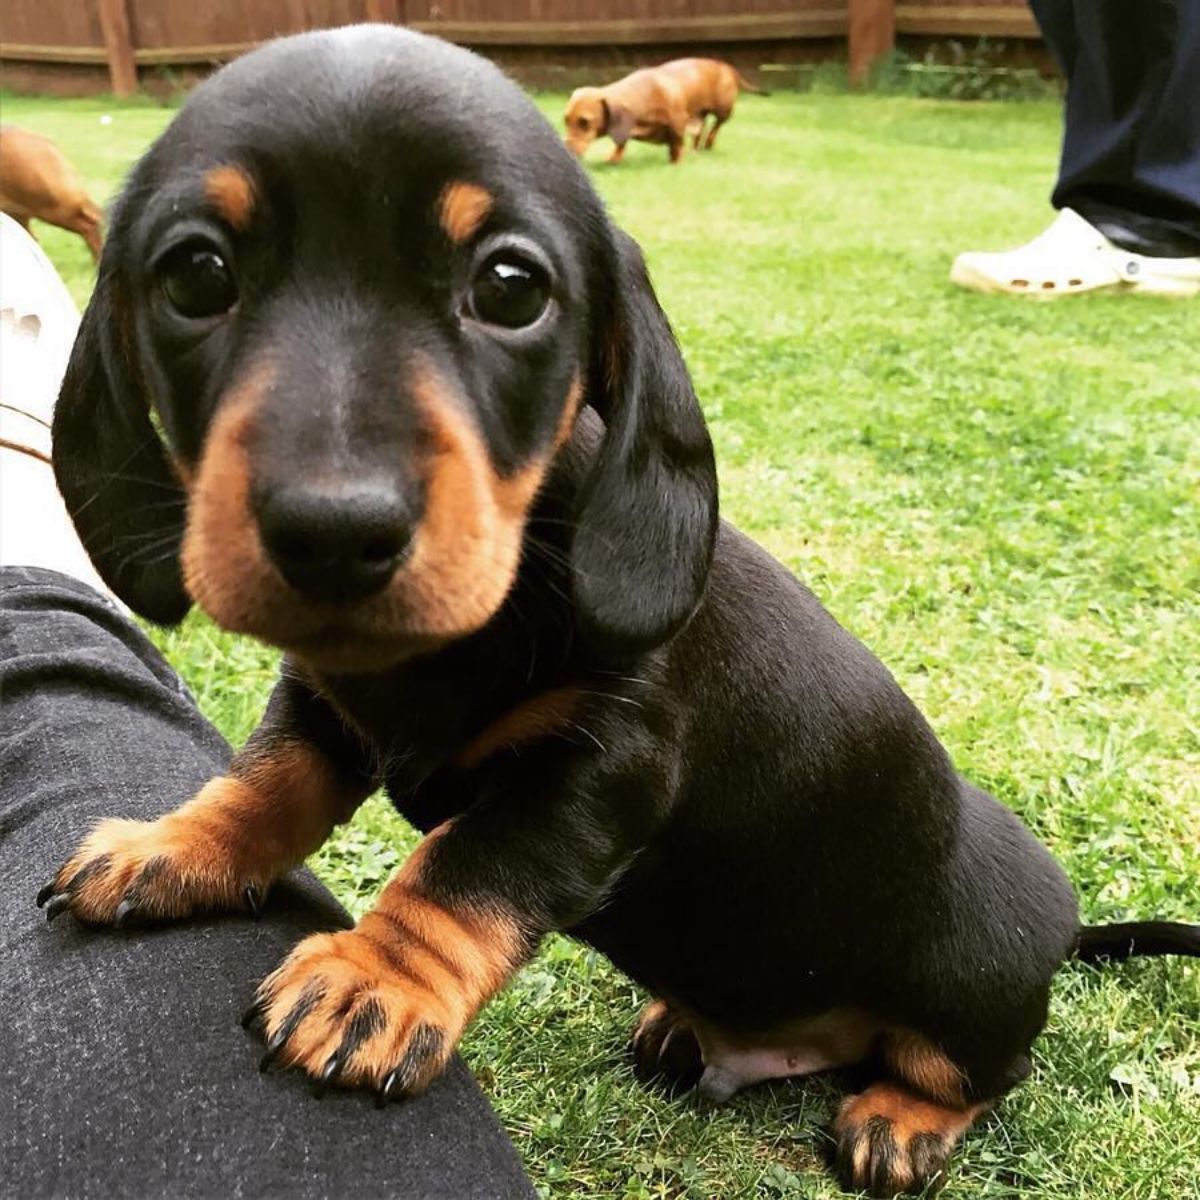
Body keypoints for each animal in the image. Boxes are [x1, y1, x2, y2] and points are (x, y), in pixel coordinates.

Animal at [564, 57, 758, 164]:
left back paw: (707, 144)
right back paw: (696, 149)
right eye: (566, 120)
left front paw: (676, 162)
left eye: (584, 122)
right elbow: (621, 144)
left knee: (715, 127)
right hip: (700, 117)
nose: (566, 152)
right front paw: (613, 159)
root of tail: (727, 66)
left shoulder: (678, 123)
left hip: (723, 111)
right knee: (700, 133)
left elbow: (677, 146)